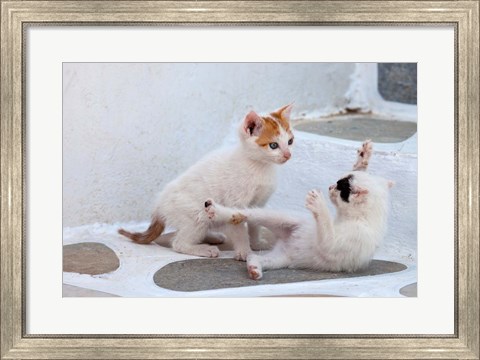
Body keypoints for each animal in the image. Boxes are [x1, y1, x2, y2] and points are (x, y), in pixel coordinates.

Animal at [118, 105, 294, 260]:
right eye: (273, 145)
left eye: (290, 141)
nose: (288, 155)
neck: (260, 166)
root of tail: (159, 207)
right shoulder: (235, 202)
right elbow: (239, 229)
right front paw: (245, 252)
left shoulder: (258, 203)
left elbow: (255, 224)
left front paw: (257, 244)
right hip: (196, 214)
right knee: (178, 243)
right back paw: (204, 249)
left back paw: (213, 236)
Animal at [202, 140, 394, 278]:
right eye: (339, 181)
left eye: (340, 187)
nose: (330, 186)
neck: (359, 218)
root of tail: (285, 242)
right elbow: (360, 170)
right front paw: (363, 157)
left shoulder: (339, 243)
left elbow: (327, 234)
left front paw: (318, 203)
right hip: (279, 218)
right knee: (246, 214)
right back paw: (219, 212)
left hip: (280, 259)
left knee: (255, 256)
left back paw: (254, 268)